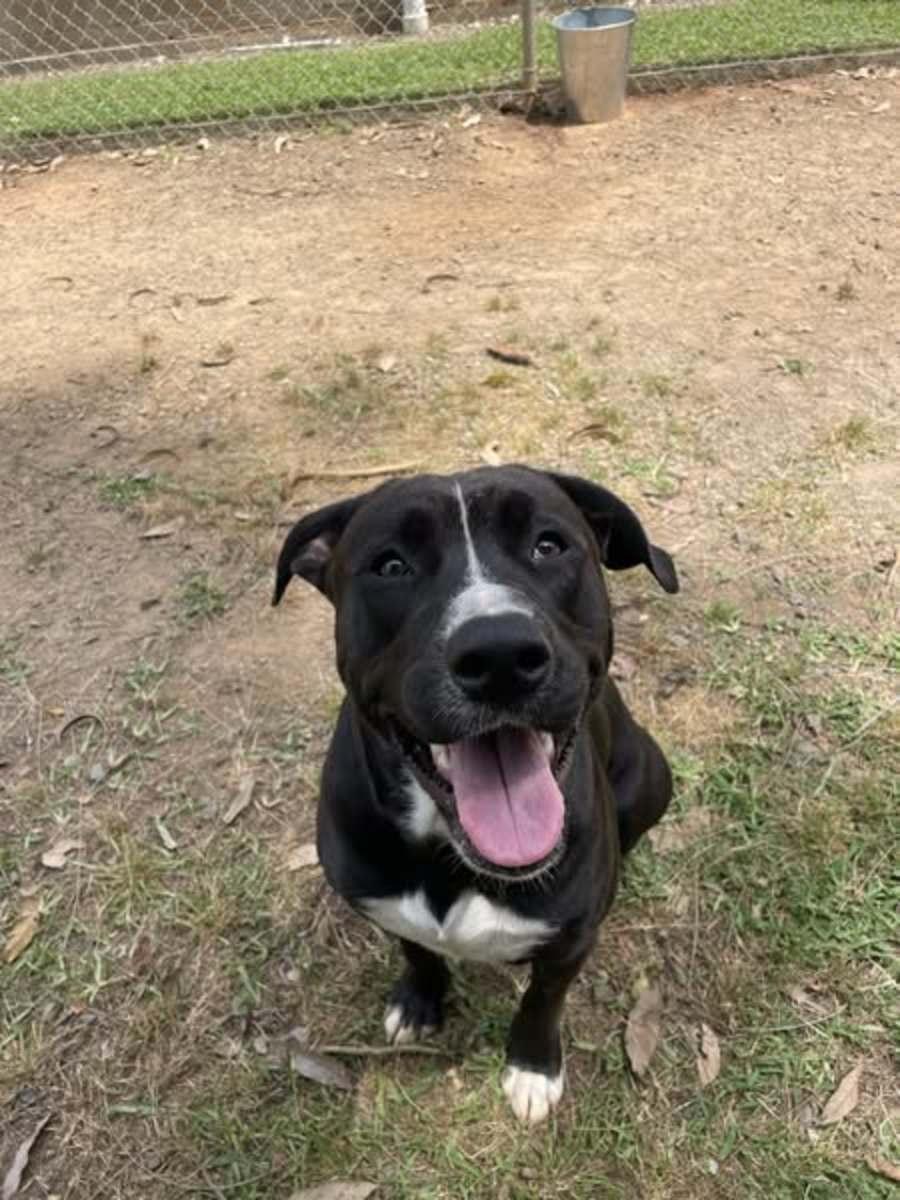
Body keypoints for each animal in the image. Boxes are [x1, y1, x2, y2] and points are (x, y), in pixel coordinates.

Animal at [274, 466, 678, 1124]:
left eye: (548, 545)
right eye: (391, 565)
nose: (500, 655)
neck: (449, 853)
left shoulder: (569, 943)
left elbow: (543, 999)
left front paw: (533, 1068)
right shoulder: (383, 905)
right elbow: (417, 950)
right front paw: (420, 1001)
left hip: (652, 774)